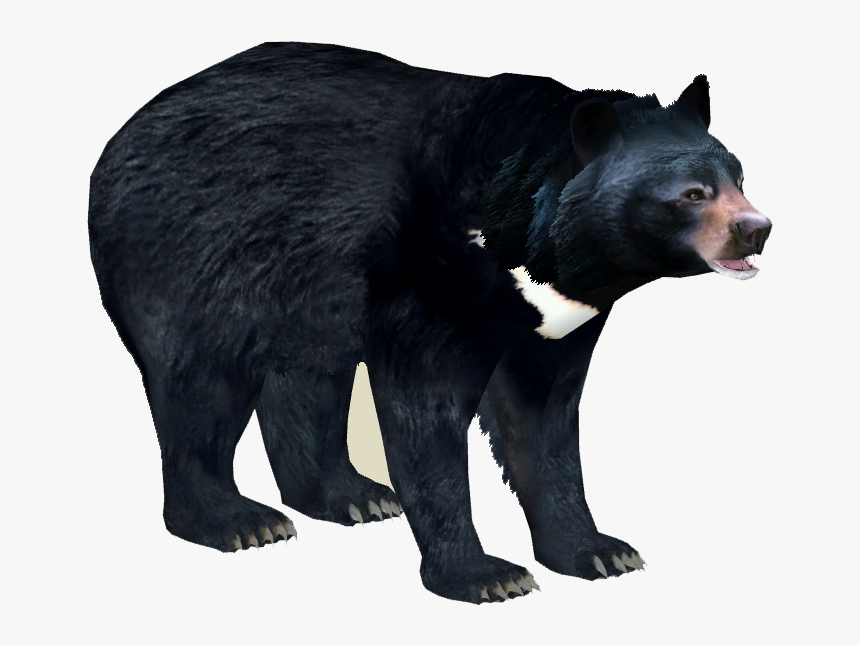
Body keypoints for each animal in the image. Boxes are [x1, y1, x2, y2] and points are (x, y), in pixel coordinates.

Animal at [88, 42, 772, 604]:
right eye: (691, 194)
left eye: (738, 175)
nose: (756, 228)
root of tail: (119, 138)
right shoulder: (433, 276)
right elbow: (426, 412)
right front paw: (487, 575)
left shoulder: (555, 322)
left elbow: (544, 423)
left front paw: (599, 551)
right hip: (196, 258)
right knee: (201, 385)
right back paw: (238, 521)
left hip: (307, 292)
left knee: (307, 382)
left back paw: (350, 495)